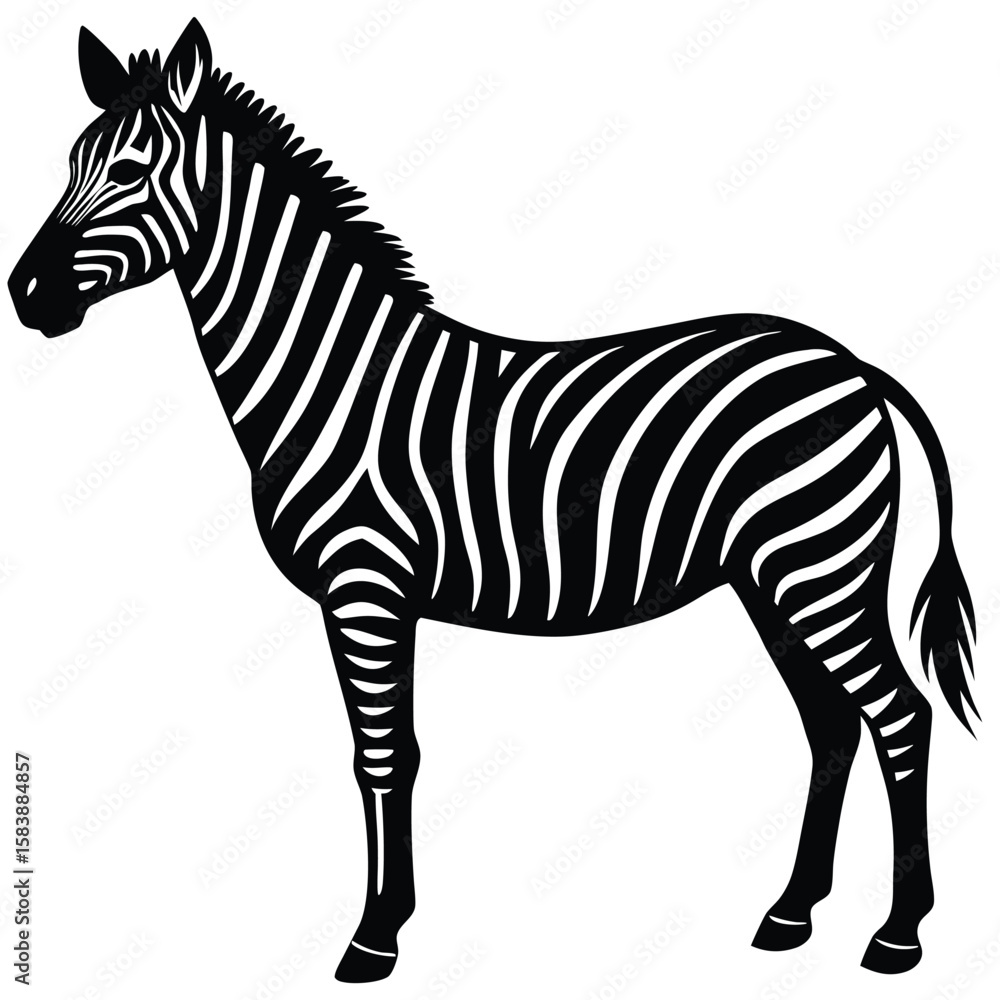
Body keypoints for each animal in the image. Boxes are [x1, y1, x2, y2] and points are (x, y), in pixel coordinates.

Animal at [7, 18, 978, 984]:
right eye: (70, 162)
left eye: (131, 171)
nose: (25, 294)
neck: (332, 376)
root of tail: (854, 365)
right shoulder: (369, 595)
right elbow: (385, 755)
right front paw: (387, 922)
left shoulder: (365, 585)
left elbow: (383, 755)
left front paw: (375, 936)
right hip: (773, 579)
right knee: (832, 724)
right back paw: (790, 915)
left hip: (821, 570)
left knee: (900, 715)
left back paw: (897, 935)